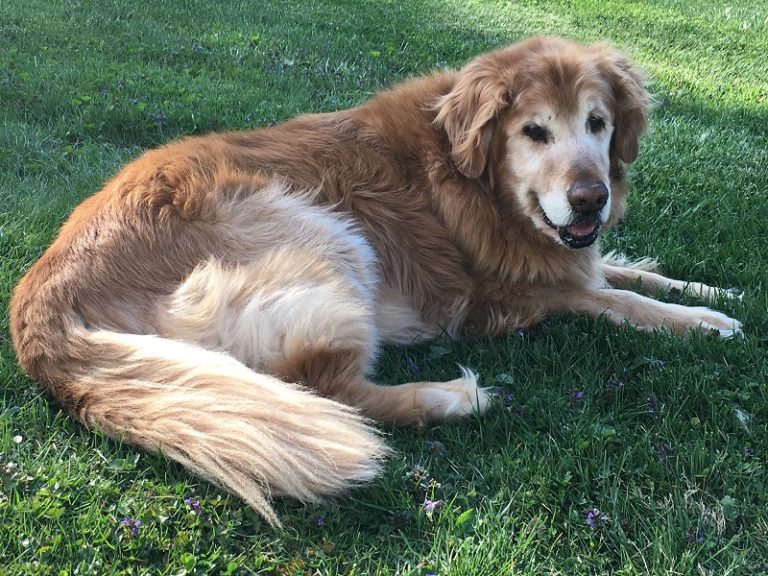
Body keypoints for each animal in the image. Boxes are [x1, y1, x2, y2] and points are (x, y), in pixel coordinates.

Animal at [9, 35, 740, 520]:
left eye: (598, 123)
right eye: (534, 131)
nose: (592, 199)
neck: (473, 176)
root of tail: (43, 292)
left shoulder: (563, 253)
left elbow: (626, 271)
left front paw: (712, 290)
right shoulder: (516, 292)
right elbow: (617, 299)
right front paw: (704, 323)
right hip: (327, 234)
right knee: (331, 389)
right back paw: (448, 398)